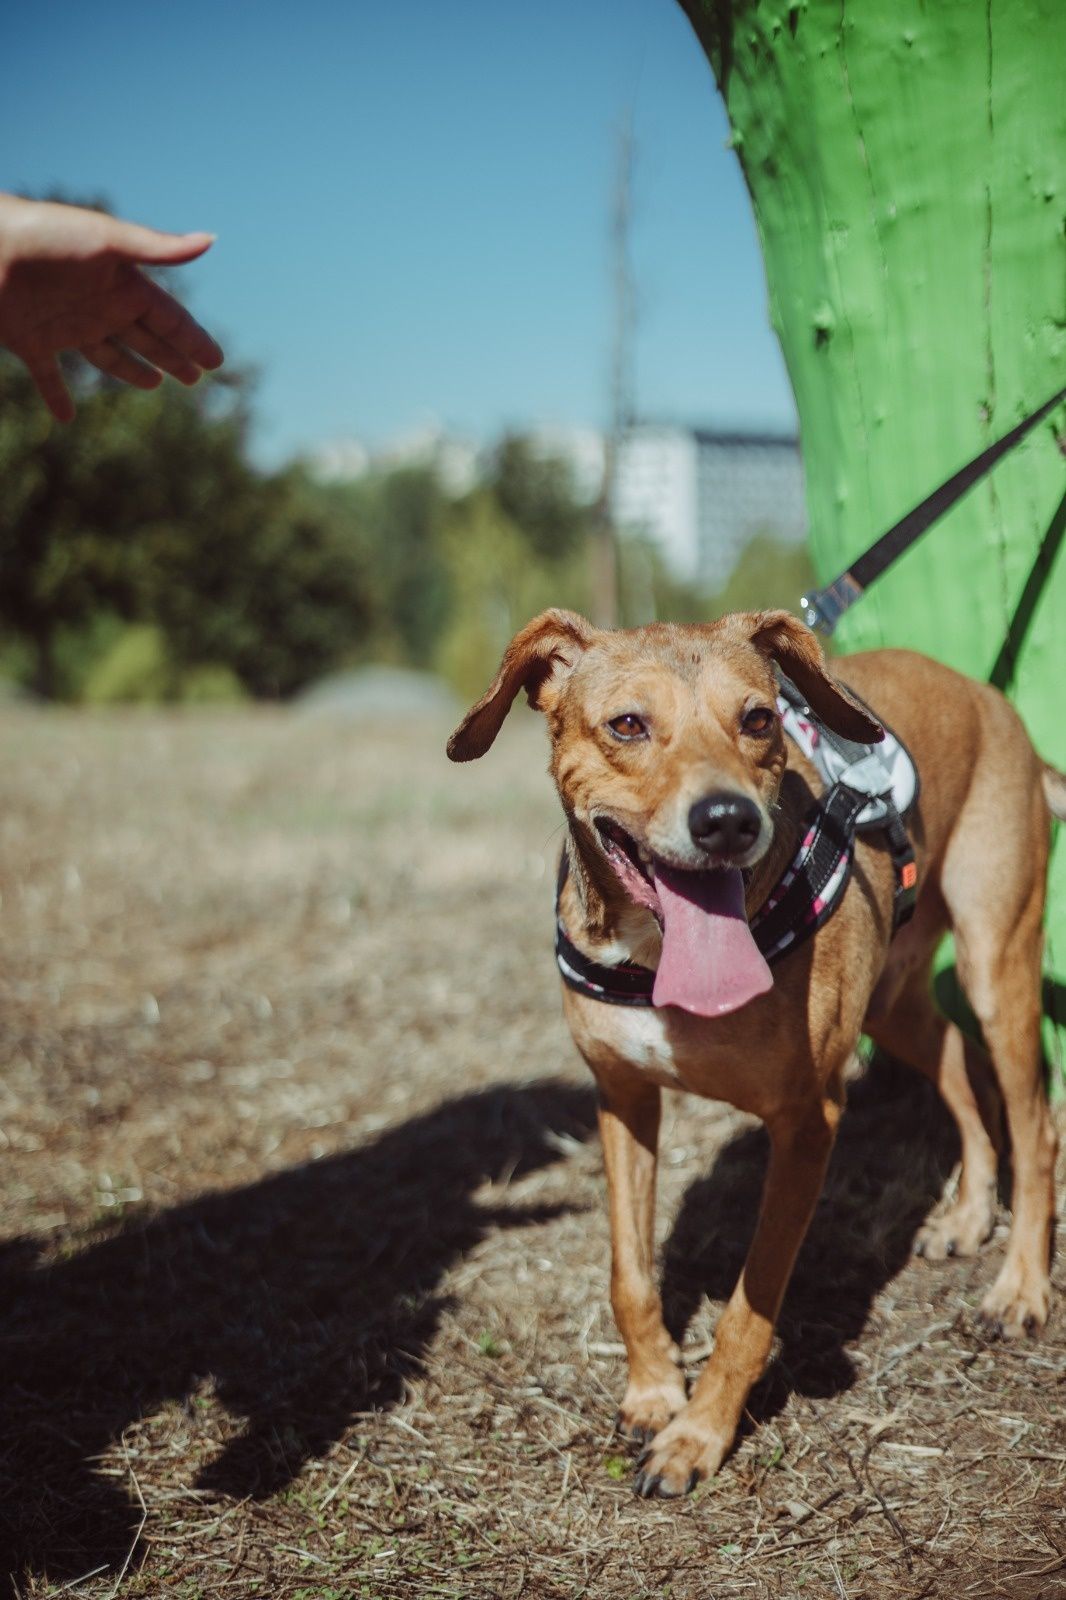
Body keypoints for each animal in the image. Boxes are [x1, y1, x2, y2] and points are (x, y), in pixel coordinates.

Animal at [444, 608, 1056, 1497]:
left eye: (759, 719)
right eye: (627, 725)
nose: (727, 819)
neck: (659, 956)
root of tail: (995, 705)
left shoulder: (808, 1123)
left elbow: (748, 1307)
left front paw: (697, 1436)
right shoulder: (623, 1098)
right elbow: (630, 1275)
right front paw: (653, 1393)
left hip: (996, 962)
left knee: (1035, 1125)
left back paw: (1020, 1289)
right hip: (895, 1005)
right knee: (954, 1066)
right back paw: (971, 1213)